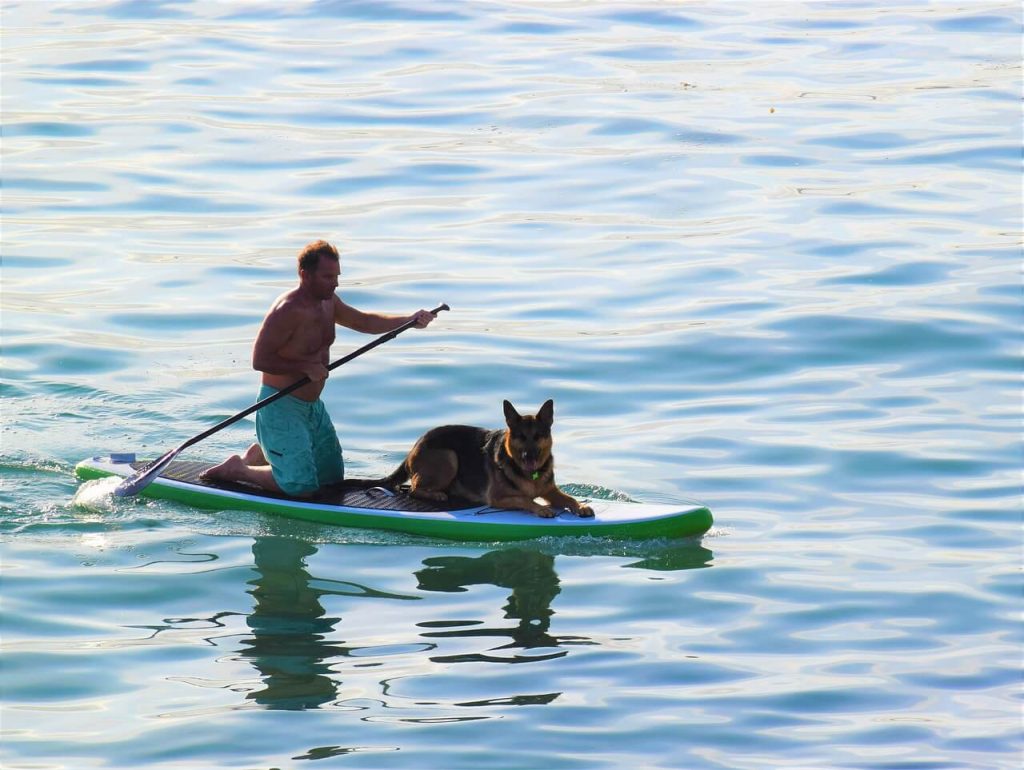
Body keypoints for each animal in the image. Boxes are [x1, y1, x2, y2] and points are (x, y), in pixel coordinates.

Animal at [368, 399, 598, 520]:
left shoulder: (550, 491)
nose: (529, 457)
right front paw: (541, 508)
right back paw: (437, 495)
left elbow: (568, 498)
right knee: (413, 489)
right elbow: (524, 499)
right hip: (449, 457)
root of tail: (414, 446)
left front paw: (580, 505)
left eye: (538, 436)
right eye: (520, 436)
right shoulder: (497, 498)